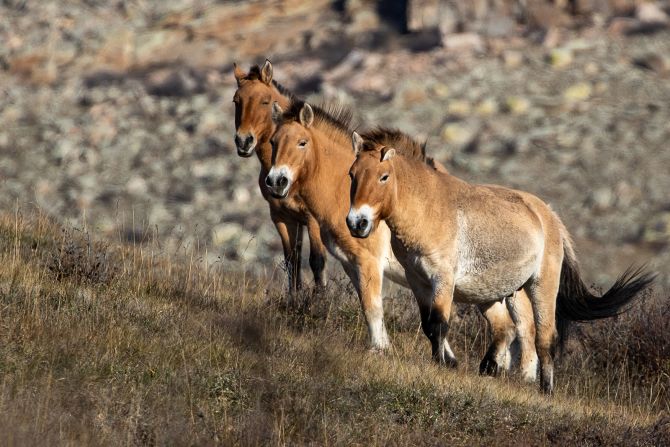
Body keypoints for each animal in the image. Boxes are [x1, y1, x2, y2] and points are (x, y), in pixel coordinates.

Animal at [233, 60, 327, 291]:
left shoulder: (312, 219)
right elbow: (292, 261)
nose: (243, 142)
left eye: (265, 101)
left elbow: (316, 261)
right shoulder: (283, 217)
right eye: (236, 101)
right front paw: (294, 297)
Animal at [266, 99, 535, 377]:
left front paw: (379, 349)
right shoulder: (352, 264)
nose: (276, 181)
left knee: (526, 330)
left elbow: (373, 306)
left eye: (302, 142)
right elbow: (372, 306)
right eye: (273, 141)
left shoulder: (369, 263)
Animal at [346, 138, 655, 393]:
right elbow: (429, 326)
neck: (428, 209)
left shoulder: (442, 279)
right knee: (505, 327)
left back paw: (545, 388)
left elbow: (440, 324)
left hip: (541, 286)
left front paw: (440, 365)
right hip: (496, 293)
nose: (356, 223)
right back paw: (490, 368)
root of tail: (550, 217)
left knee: (544, 338)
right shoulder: (418, 281)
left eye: (384, 177)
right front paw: (444, 363)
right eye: (352, 174)